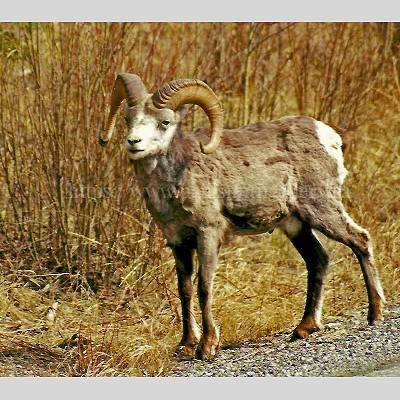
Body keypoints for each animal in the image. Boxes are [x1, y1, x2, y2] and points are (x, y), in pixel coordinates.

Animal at [99, 73, 384, 360]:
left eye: (164, 122)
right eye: (128, 119)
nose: (134, 142)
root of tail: (328, 136)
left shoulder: (208, 233)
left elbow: (204, 287)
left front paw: (207, 346)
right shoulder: (178, 241)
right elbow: (185, 290)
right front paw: (186, 344)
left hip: (322, 211)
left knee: (360, 240)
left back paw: (375, 314)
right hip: (297, 225)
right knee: (318, 260)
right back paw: (304, 328)